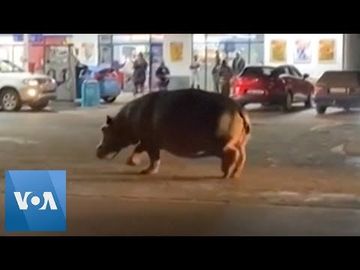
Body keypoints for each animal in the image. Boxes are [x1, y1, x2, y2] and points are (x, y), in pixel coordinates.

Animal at [95, 88, 250, 177]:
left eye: (104, 129)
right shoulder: (153, 143)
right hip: (239, 142)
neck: (124, 121)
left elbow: (139, 150)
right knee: (242, 156)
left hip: (221, 143)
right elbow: (154, 158)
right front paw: (148, 171)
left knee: (232, 154)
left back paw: (226, 173)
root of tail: (238, 108)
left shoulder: (148, 141)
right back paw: (234, 174)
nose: (97, 149)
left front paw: (133, 164)